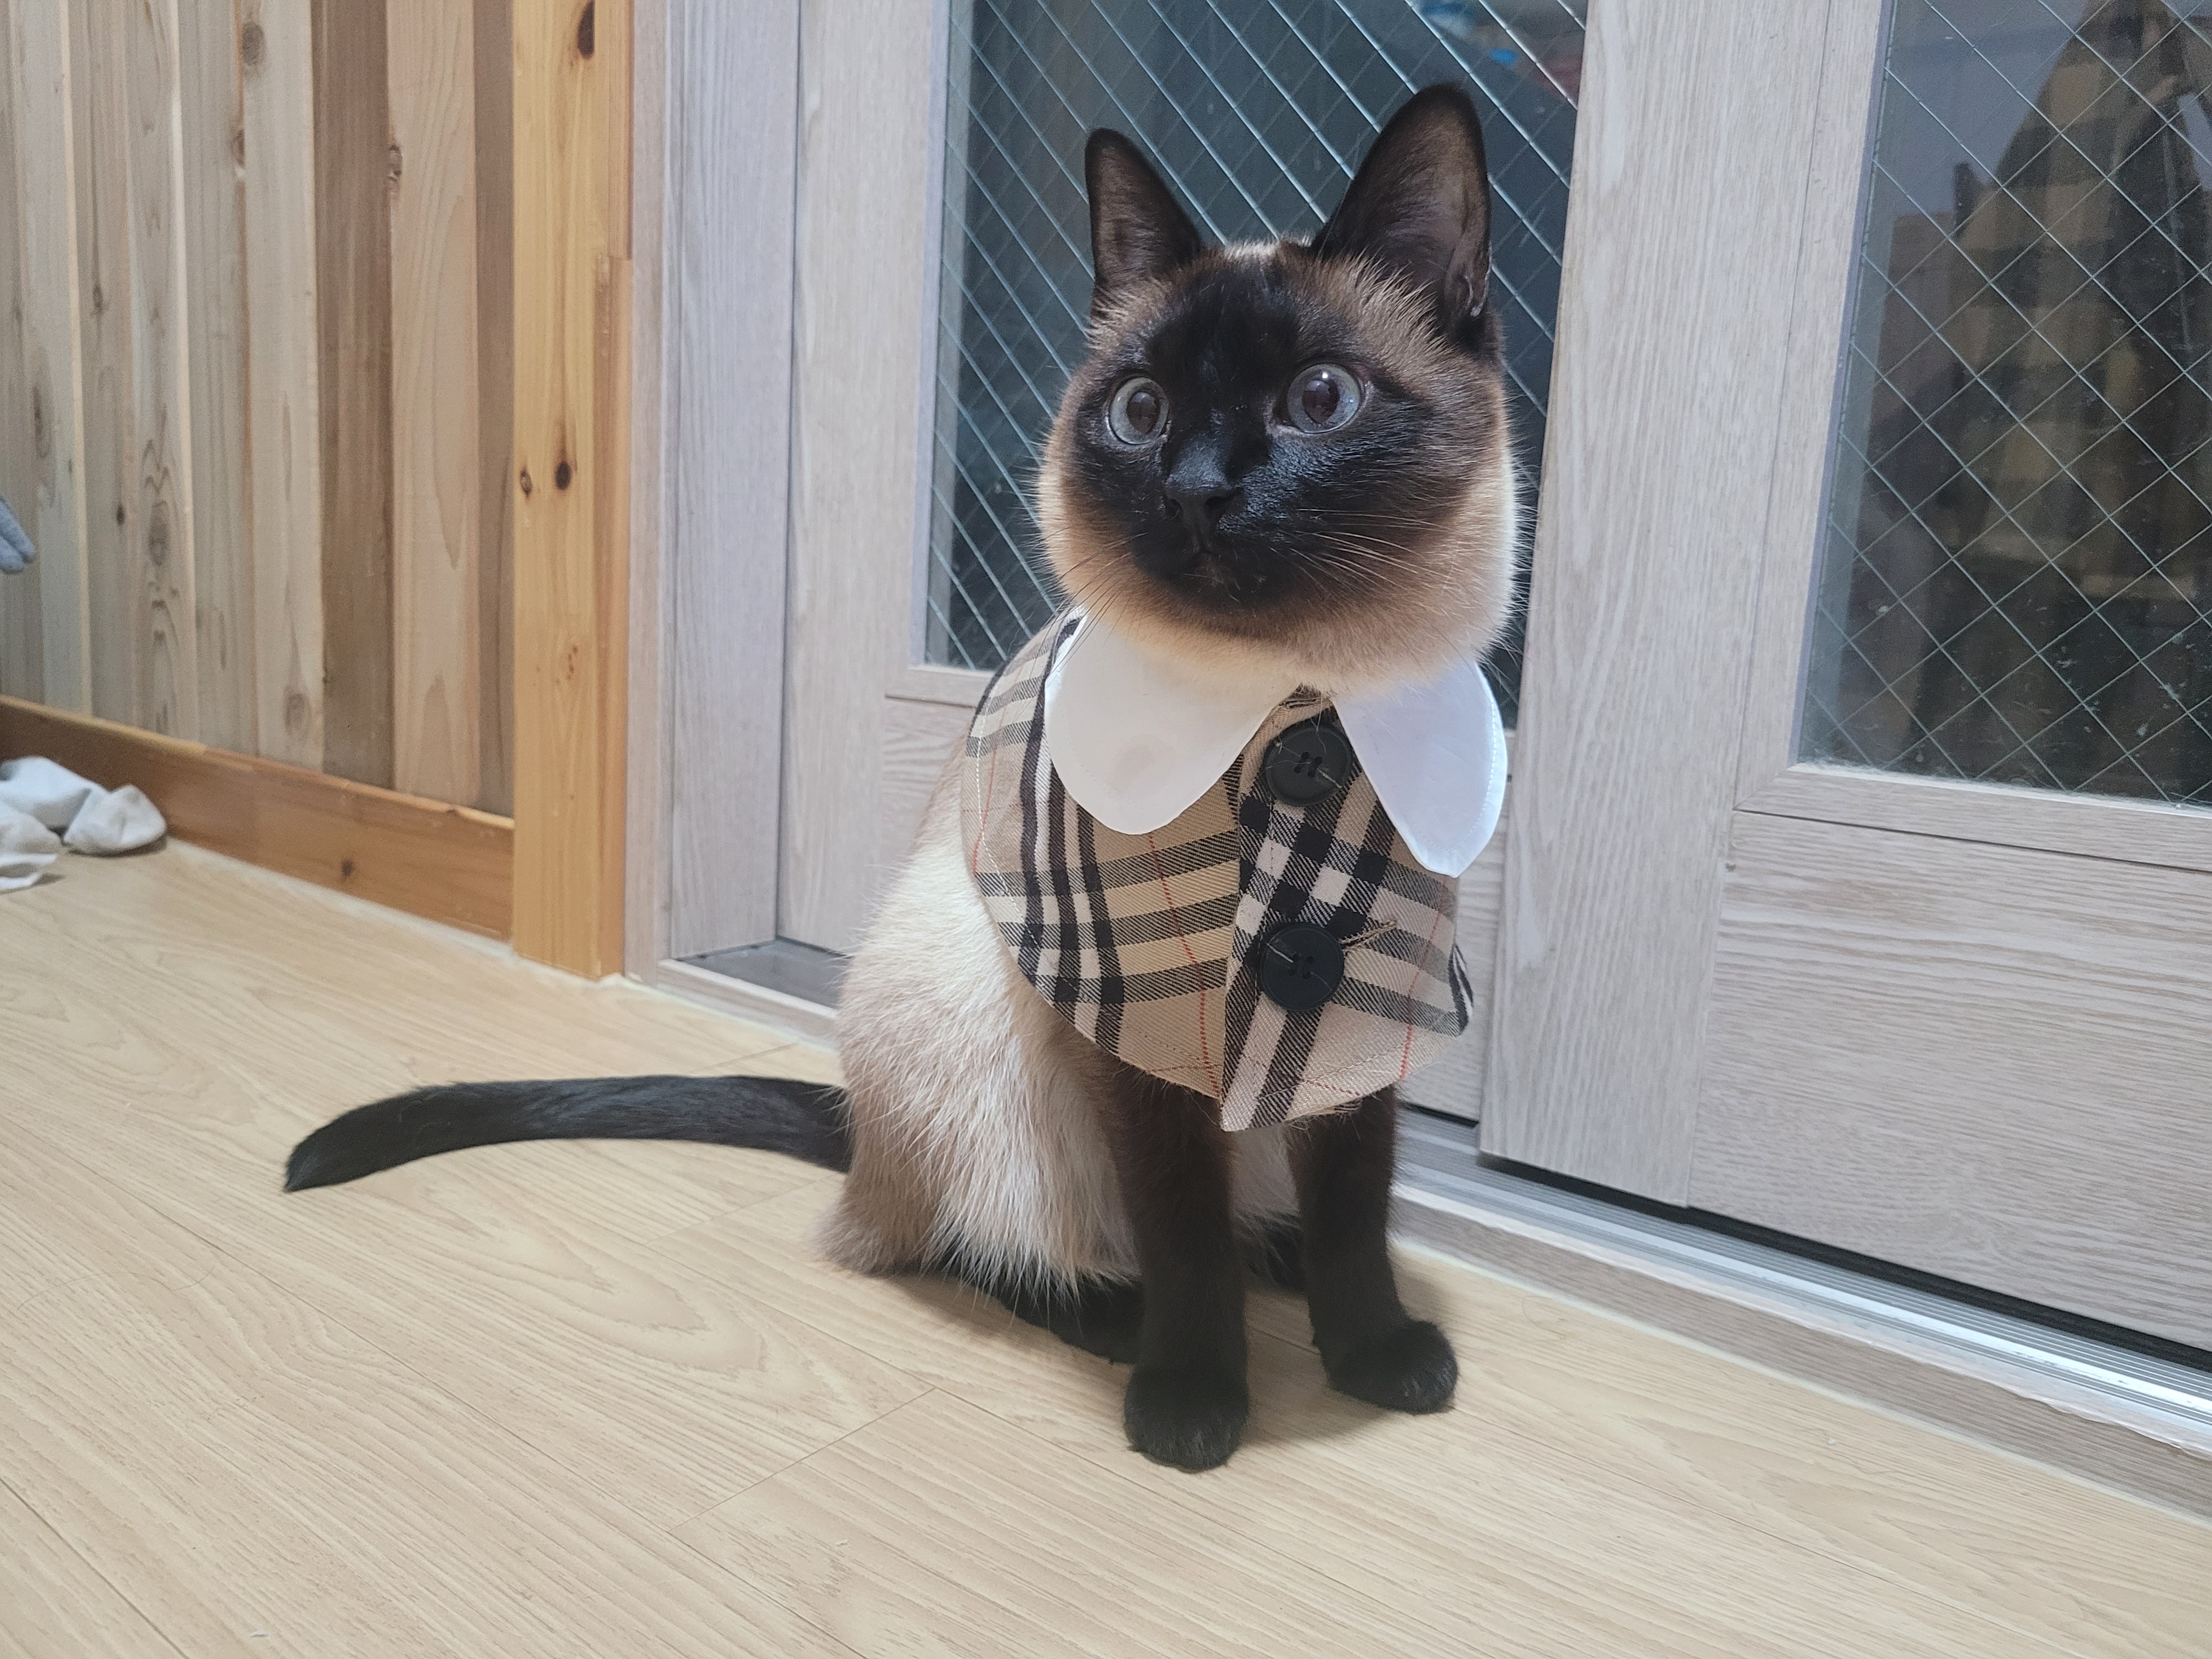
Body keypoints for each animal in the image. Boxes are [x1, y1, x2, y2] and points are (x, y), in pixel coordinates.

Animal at [287, 84, 1517, 1473]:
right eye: (1143, 413)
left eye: (1321, 399)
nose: (1199, 491)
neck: (1296, 701)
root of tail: (862, 1135)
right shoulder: (1136, 1028)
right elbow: (1181, 1226)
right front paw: (1195, 1403)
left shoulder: (1359, 1009)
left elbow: (1357, 1204)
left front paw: (1373, 1353)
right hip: (958, 993)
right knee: (979, 1243)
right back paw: (1117, 1318)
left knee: (1252, 1204)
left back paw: (1285, 1265)